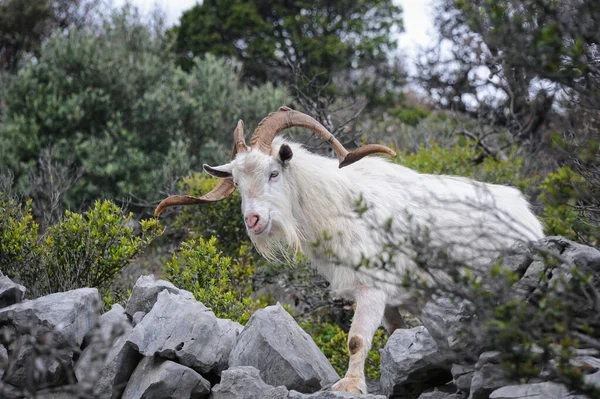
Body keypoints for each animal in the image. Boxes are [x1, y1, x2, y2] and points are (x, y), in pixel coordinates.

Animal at [155, 106, 544, 394]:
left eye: (273, 173)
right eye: (236, 182)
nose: (253, 219)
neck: (339, 204)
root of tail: (527, 214)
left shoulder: (372, 286)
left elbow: (356, 340)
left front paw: (350, 385)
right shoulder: (392, 299)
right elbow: (392, 338)